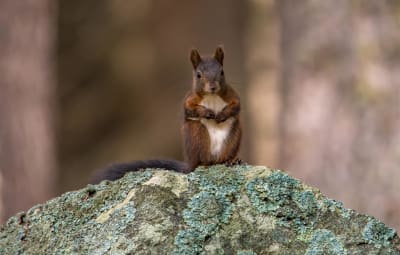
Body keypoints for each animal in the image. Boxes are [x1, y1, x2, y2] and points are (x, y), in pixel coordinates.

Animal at [90, 45, 241, 184]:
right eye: (198, 75)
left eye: (222, 72)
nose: (213, 87)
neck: (212, 96)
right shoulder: (190, 99)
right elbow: (189, 109)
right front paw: (207, 112)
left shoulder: (232, 95)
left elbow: (236, 106)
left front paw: (222, 114)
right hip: (196, 133)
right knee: (202, 159)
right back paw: (206, 162)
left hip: (234, 135)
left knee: (224, 156)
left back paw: (231, 160)